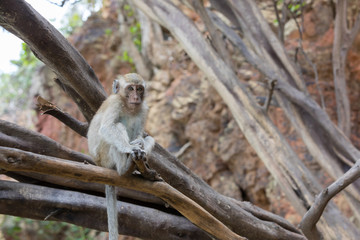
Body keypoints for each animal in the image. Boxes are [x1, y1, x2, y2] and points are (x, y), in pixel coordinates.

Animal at [88, 73, 155, 240]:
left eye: (139, 89)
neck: (129, 107)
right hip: (105, 158)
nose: (136, 97)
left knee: (150, 139)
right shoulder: (115, 102)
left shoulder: (143, 109)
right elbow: (107, 128)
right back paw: (125, 168)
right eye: (130, 88)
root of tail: (99, 165)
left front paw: (139, 142)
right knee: (116, 128)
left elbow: (140, 135)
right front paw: (130, 147)